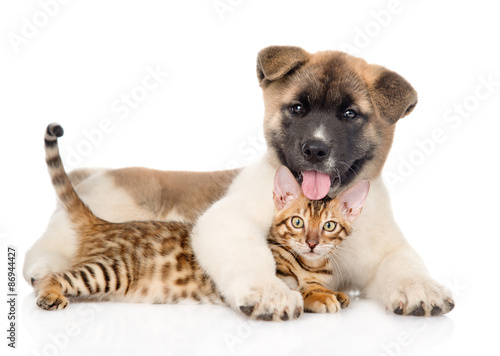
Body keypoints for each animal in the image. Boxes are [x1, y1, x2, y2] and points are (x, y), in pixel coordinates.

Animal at [35, 123, 370, 320]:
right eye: (298, 222)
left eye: (329, 226)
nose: (311, 243)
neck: (312, 265)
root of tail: (101, 222)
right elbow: (296, 290)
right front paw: (321, 297)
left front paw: (334, 293)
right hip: (111, 271)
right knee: (54, 276)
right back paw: (49, 294)